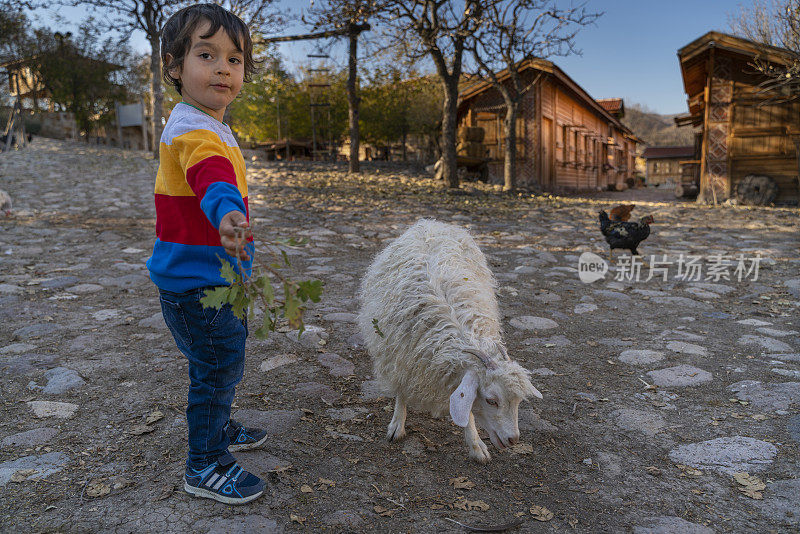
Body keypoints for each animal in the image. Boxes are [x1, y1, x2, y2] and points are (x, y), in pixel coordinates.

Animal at [360, 220, 544, 462]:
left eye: (518, 401)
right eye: (491, 400)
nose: (512, 439)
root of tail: (429, 222)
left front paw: (475, 444)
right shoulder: (400, 356)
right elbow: (401, 390)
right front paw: (397, 424)